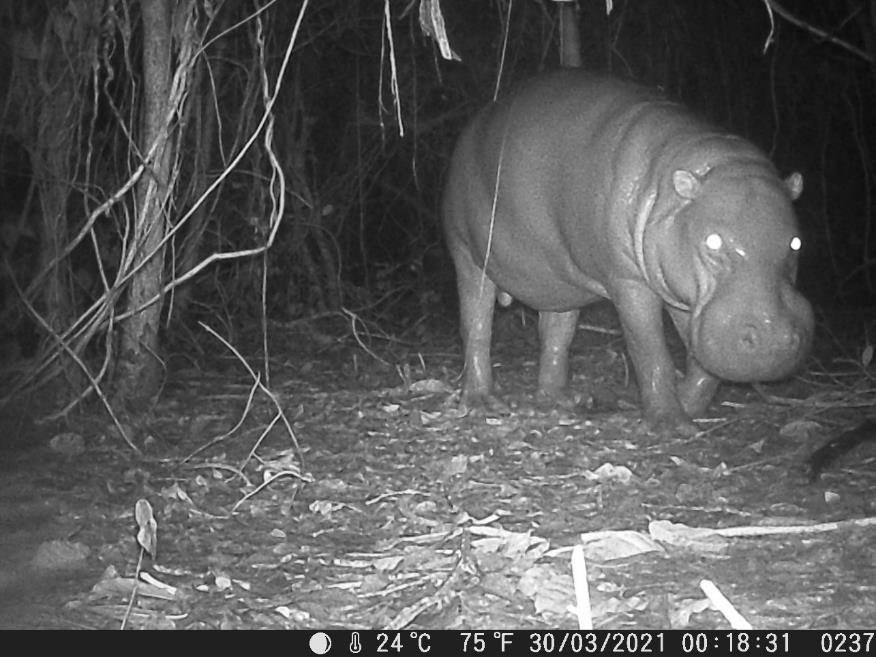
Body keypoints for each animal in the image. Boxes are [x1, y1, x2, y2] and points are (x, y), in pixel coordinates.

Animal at [442, 70, 814, 434]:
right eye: (713, 241)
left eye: (796, 243)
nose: (774, 339)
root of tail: (474, 124)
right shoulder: (629, 280)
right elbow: (650, 349)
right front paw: (669, 425)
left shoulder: (683, 293)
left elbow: (701, 361)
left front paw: (686, 408)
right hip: (467, 251)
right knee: (476, 323)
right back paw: (482, 403)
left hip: (560, 282)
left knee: (557, 332)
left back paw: (559, 401)